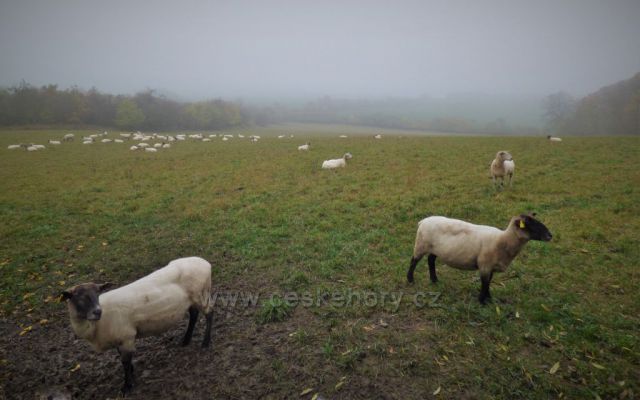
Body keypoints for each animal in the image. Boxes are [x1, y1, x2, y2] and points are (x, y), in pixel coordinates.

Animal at [61, 256, 214, 394]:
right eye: (78, 297)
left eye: (97, 294)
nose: (97, 312)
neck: (94, 326)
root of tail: (205, 263)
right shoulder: (119, 338)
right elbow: (123, 359)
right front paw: (132, 373)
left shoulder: (127, 336)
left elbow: (125, 362)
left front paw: (127, 386)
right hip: (192, 299)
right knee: (194, 314)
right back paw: (185, 340)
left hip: (201, 294)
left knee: (209, 313)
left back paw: (205, 343)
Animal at [410, 214, 552, 304]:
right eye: (530, 225)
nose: (550, 236)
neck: (503, 241)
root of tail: (423, 221)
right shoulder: (484, 265)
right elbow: (484, 283)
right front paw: (482, 301)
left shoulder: (491, 266)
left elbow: (489, 281)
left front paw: (489, 298)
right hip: (421, 244)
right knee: (414, 261)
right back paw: (410, 279)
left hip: (436, 249)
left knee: (430, 260)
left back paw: (434, 280)